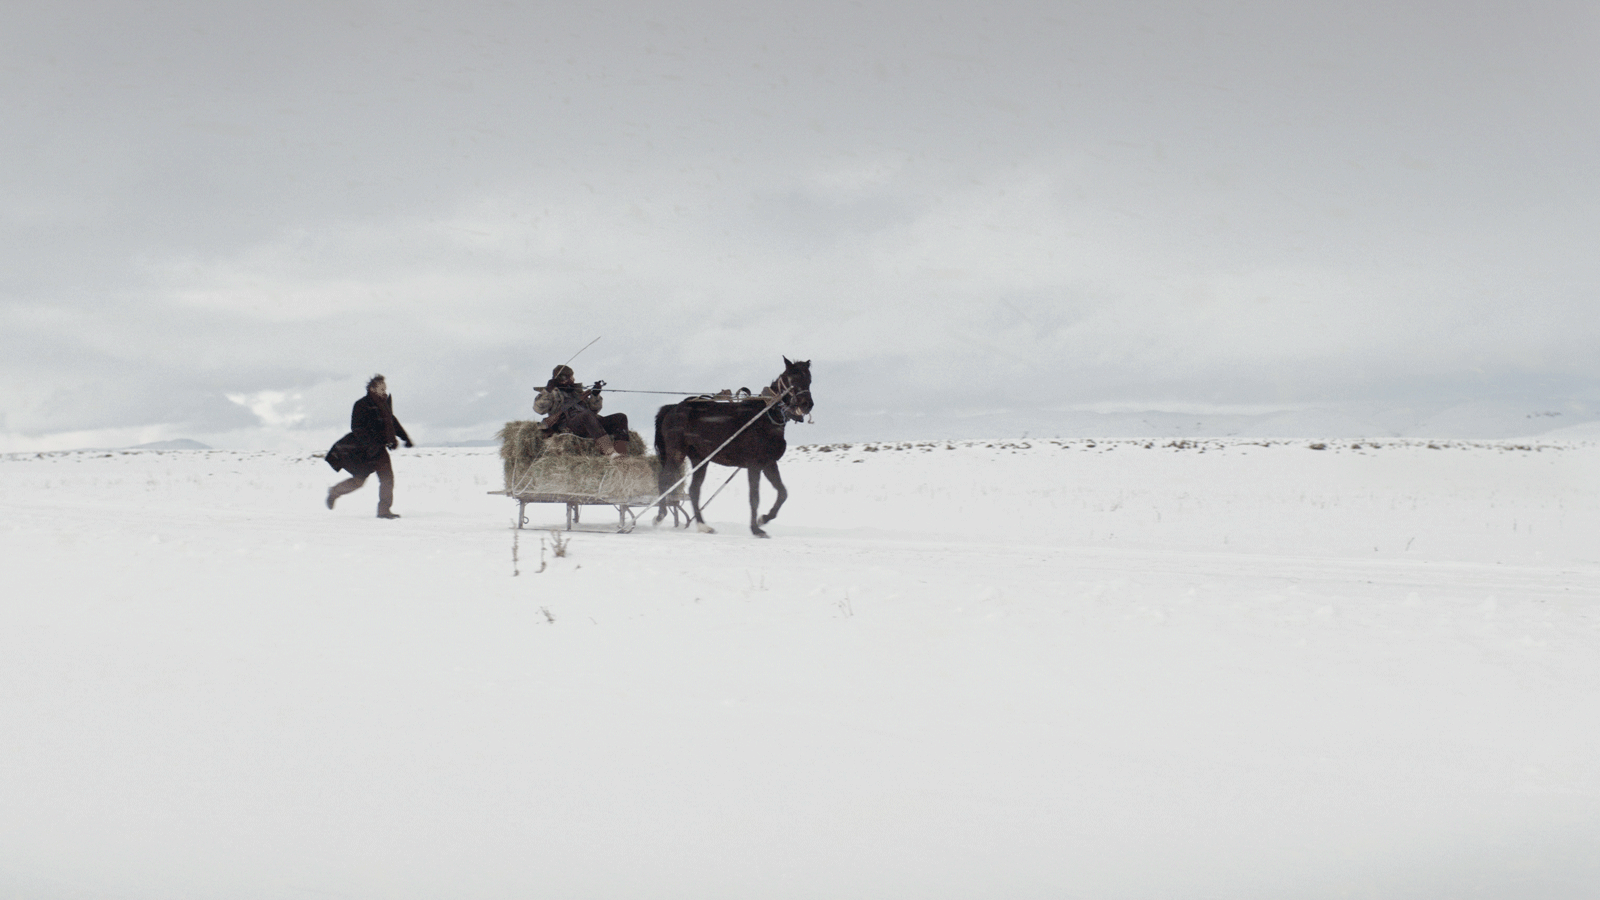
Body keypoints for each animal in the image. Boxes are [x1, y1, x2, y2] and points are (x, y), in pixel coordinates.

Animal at [649, 355, 812, 538]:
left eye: (809, 379)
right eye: (791, 379)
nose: (807, 404)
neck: (766, 416)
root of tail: (673, 408)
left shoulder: (769, 464)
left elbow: (782, 493)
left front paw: (764, 518)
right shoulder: (754, 465)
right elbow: (754, 497)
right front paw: (756, 529)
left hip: (700, 459)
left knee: (693, 490)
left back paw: (703, 525)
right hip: (676, 453)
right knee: (664, 480)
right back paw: (660, 516)